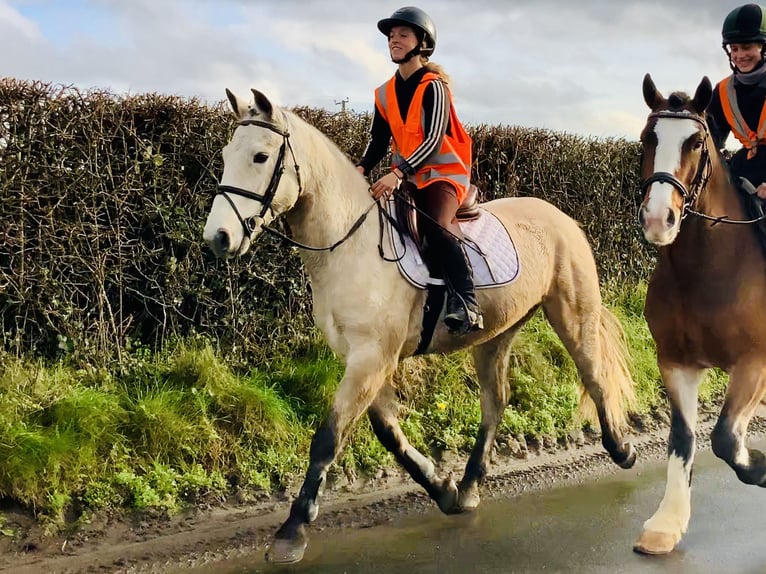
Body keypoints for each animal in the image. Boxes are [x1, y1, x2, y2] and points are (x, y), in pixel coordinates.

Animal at [202, 88, 637, 564]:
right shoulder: (362, 359)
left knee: (593, 375)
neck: (348, 244)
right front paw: (441, 487)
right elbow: (387, 432)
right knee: (495, 401)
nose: (217, 239)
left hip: (573, 312)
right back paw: (468, 487)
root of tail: (561, 216)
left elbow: (328, 437)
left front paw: (291, 531)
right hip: (496, 333)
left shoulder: (372, 358)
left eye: (261, 156)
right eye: (225, 155)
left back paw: (622, 449)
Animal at [635, 73, 766, 555]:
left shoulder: (754, 362)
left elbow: (726, 438)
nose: (659, 219)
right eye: (647, 138)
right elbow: (684, 437)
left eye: (695, 142)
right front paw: (665, 524)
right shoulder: (676, 363)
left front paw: (760, 466)